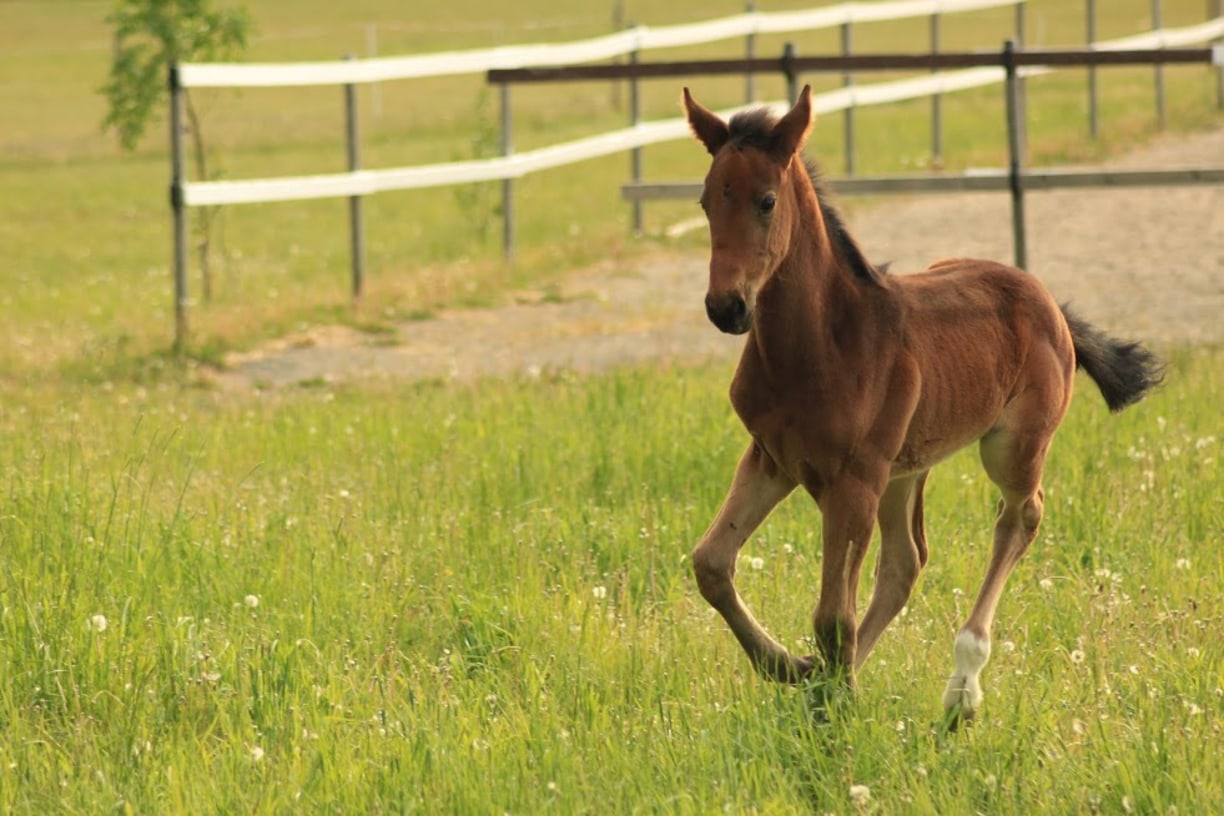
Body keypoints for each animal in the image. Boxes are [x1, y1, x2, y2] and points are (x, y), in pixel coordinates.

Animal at [685, 86, 1160, 724]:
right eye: (707, 200)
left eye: (766, 201)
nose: (726, 307)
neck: (821, 343)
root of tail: (1049, 301)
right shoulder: (772, 457)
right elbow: (712, 563)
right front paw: (796, 671)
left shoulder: (853, 478)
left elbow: (832, 617)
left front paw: (831, 708)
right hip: (905, 468)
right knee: (906, 561)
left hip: (1009, 448)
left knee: (1020, 517)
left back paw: (963, 685)